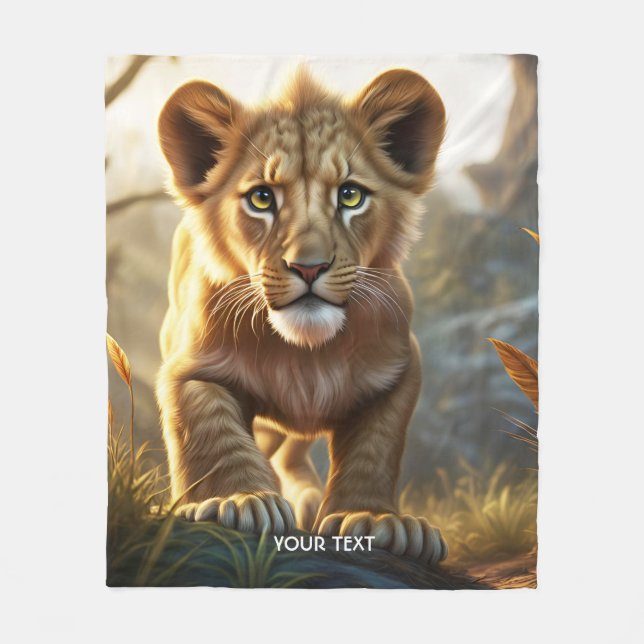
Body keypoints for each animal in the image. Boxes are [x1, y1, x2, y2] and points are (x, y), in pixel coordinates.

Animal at [156, 67, 448, 564]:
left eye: (350, 196)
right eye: (261, 198)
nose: (308, 267)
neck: (305, 353)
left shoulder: (400, 368)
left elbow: (376, 447)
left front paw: (374, 518)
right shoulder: (186, 367)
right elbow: (211, 427)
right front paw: (239, 500)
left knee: (290, 453)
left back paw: (309, 500)